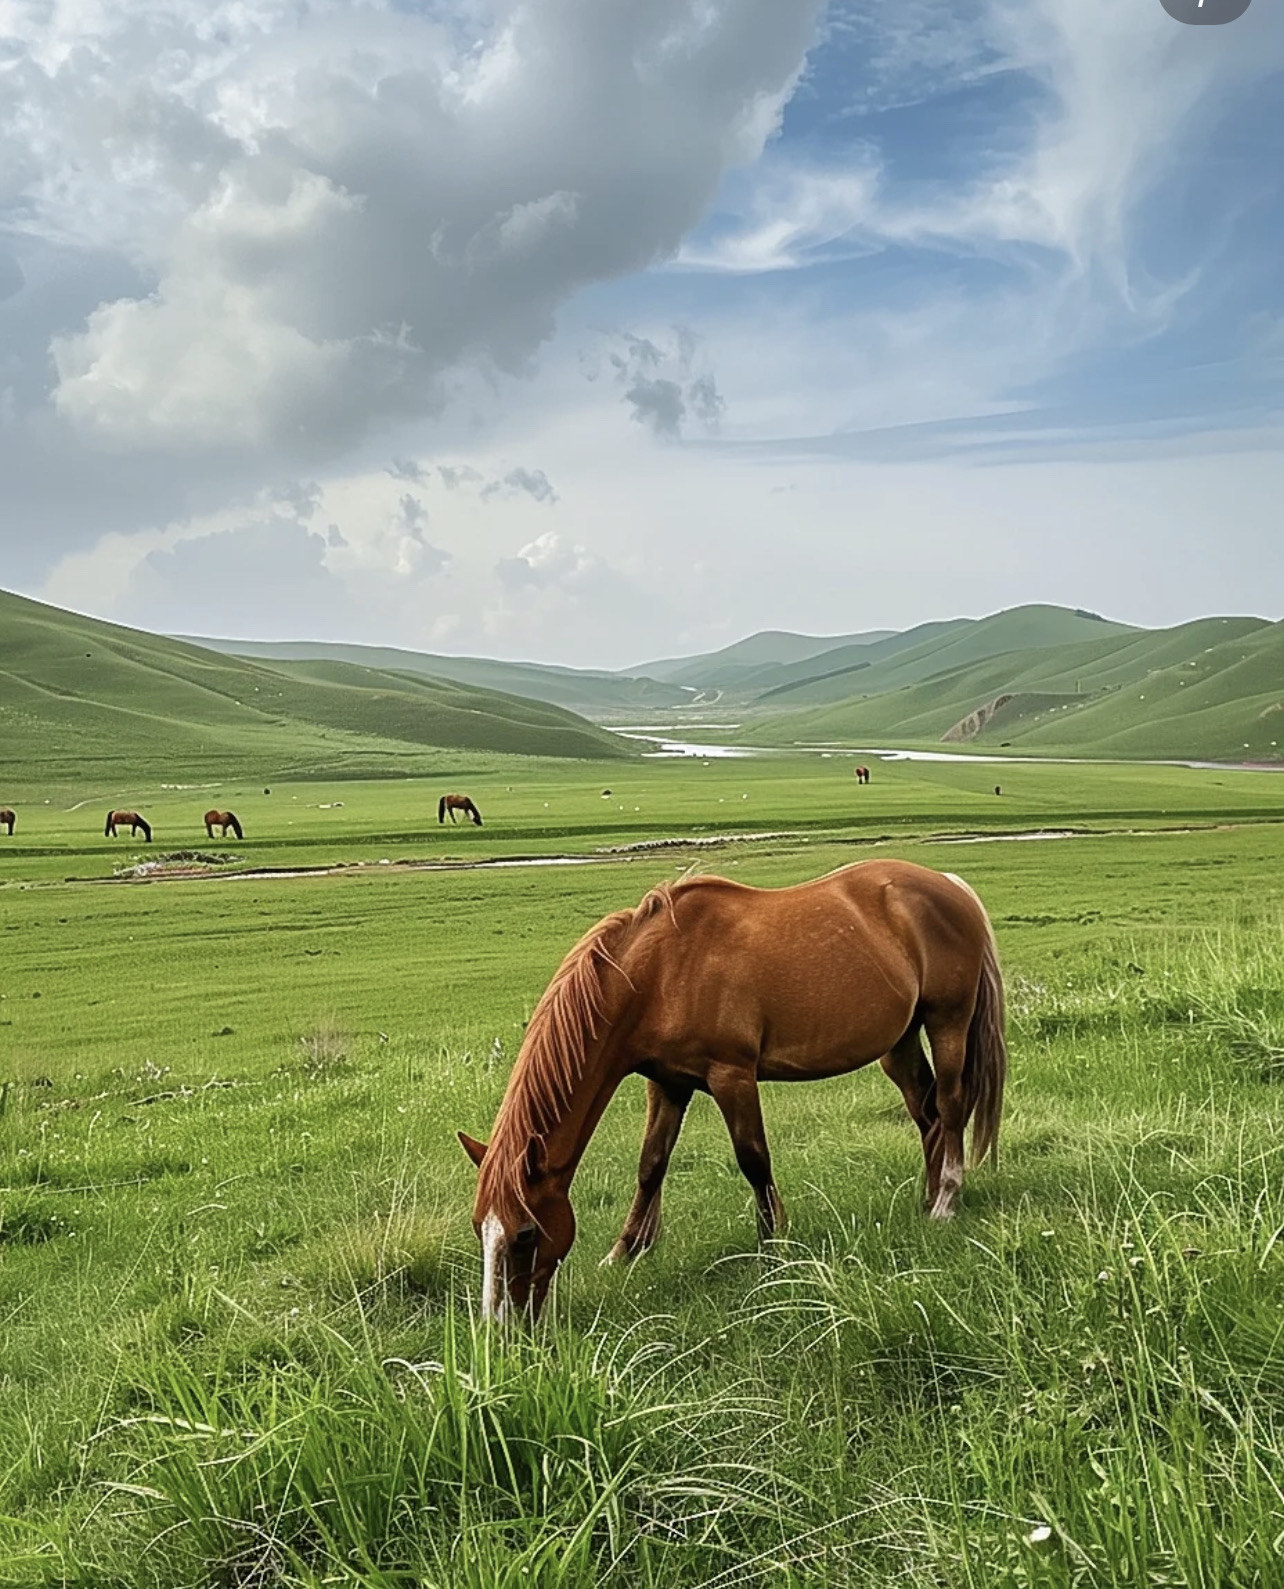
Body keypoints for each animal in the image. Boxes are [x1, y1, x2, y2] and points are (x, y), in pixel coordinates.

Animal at [457, 864, 1010, 1322]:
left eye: (525, 1233)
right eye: (479, 1227)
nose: (499, 1328)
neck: (660, 974)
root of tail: (950, 885)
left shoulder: (732, 1076)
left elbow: (753, 1159)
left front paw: (773, 1248)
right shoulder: (669, 1085)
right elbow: (651, 1165)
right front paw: (626, 1250)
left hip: (948, 1022)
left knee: (950, 1106)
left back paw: (946, 1201)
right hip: (899, 1042)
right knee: (925, 1112)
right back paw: (927, 1197)